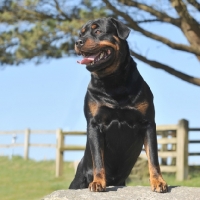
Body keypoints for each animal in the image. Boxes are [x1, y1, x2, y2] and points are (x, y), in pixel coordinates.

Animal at [69, 17, 167, 194]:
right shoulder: (94, 124)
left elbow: (153, 158)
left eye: (98, 31)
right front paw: (98, 182)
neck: (113, 82)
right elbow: (98, 159)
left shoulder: (148, 123)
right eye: (81, 34)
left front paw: (158, 181)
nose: (78, 42)